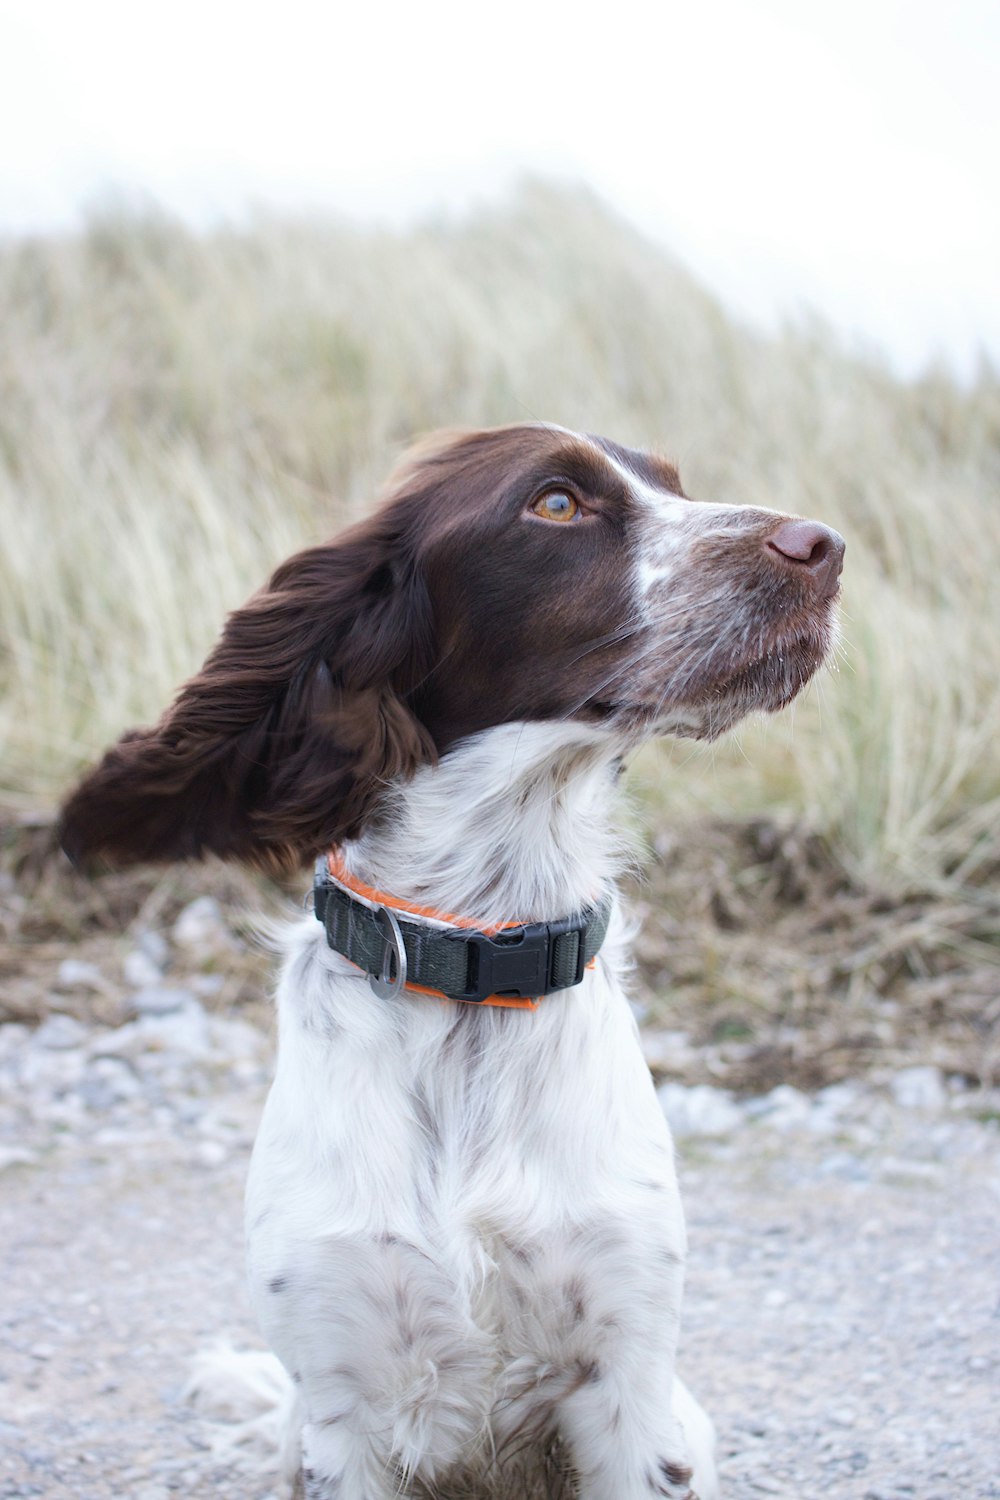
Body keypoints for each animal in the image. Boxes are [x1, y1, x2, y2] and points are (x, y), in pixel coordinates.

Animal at [60, 423, 845, 1500]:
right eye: (555, 504)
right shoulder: (342, 1399)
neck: (475, 960)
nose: (825, 547)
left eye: (677, 487)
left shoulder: (628, 1386)